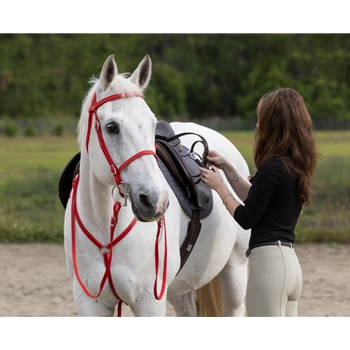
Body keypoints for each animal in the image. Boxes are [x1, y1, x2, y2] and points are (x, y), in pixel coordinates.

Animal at [62, 54, 249, 318]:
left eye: (152, 124)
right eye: (111, 128)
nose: (155, 201)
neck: (106, 230)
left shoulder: (150, 301)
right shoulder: (90, 302)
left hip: (235, 267)